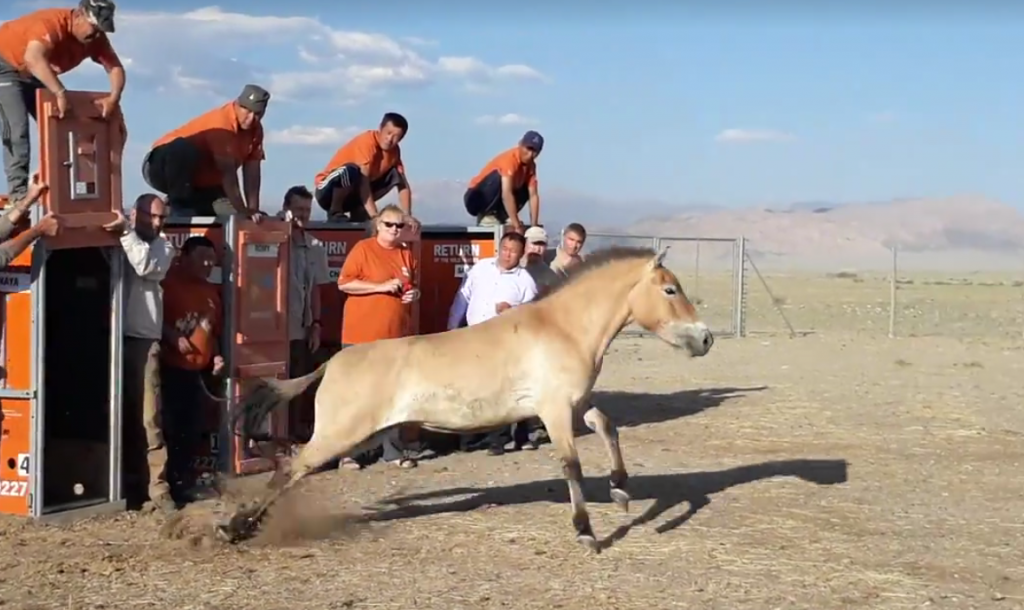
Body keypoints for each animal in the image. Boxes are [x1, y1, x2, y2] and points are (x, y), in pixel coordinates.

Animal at [221, 246, 715, 551]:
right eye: (670, 289)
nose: (706, 338)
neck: (562, 328)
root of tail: (332, 364)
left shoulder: (574, 405)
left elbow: (608, 427)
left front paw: (621, 491)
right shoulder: (554, 413)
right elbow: (571, 467)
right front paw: (587, 533)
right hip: (339, 435)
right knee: (290, 468)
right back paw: (235, 527)